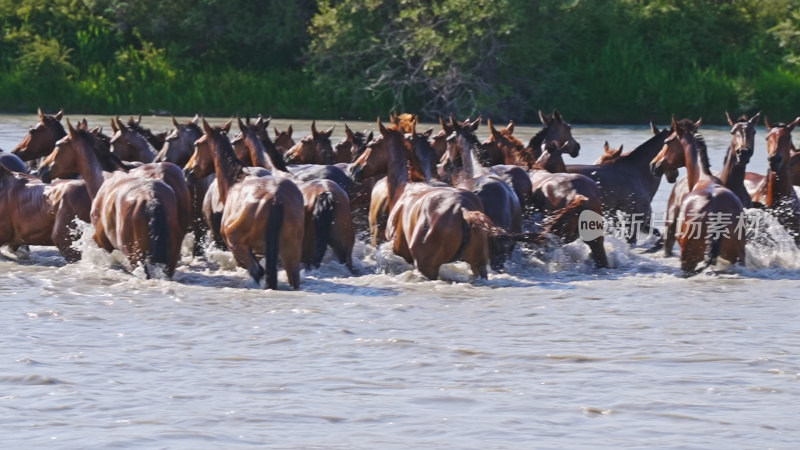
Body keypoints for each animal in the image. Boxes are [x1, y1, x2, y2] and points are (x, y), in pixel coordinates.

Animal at [39, 119, 183, 278]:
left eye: (58, 145)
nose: (42, 169)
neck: (104, 177)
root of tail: (151, 199)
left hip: (136, 258)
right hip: (170, 259)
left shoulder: (101, 242)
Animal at [648, 118, 744, 274]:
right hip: (738, 257)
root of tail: (716, 215)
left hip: (688, 259)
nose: (653, 165)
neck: (702, 179)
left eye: (666, 142)